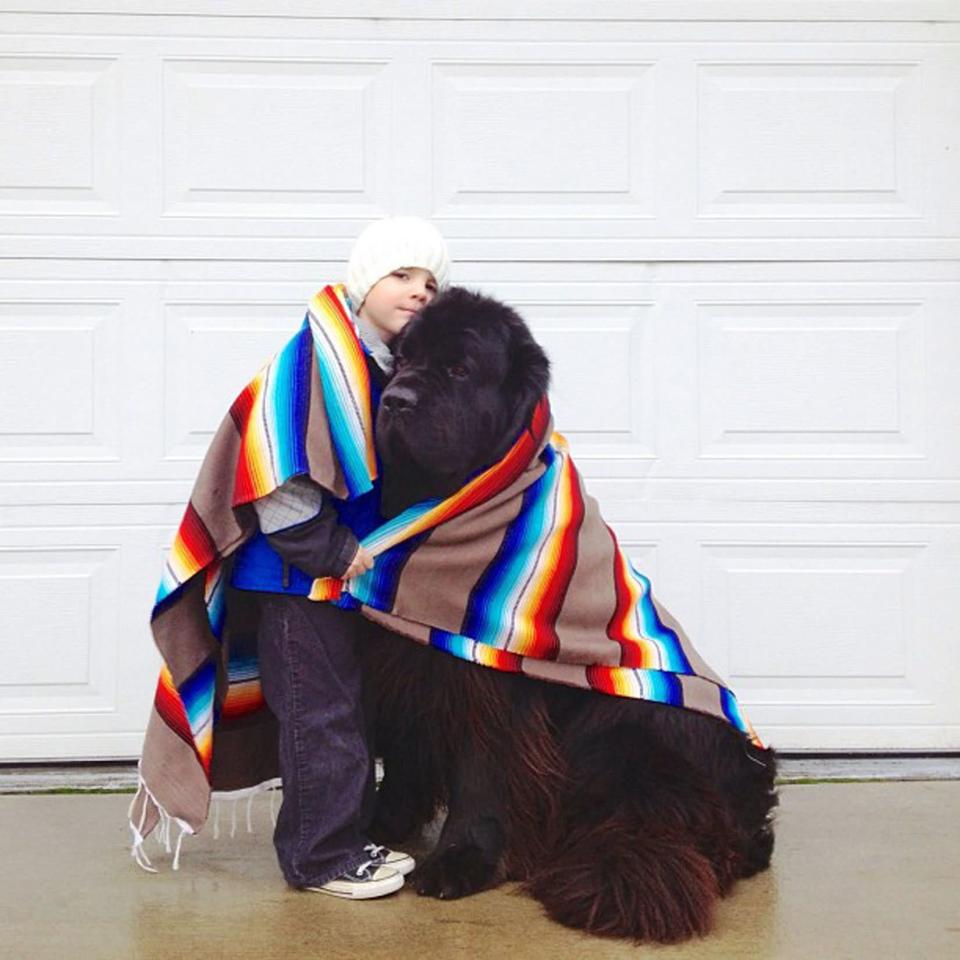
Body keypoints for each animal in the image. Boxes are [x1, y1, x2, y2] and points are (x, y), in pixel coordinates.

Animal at [364, 286, 776, 944]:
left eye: (459, 370)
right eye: (402, 359)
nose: (396, 400)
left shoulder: (491, 679)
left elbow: (481, 772)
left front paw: (460, 861)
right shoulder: (407, 656)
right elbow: (404, 752)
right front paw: (382, 822)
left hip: (624, 731)